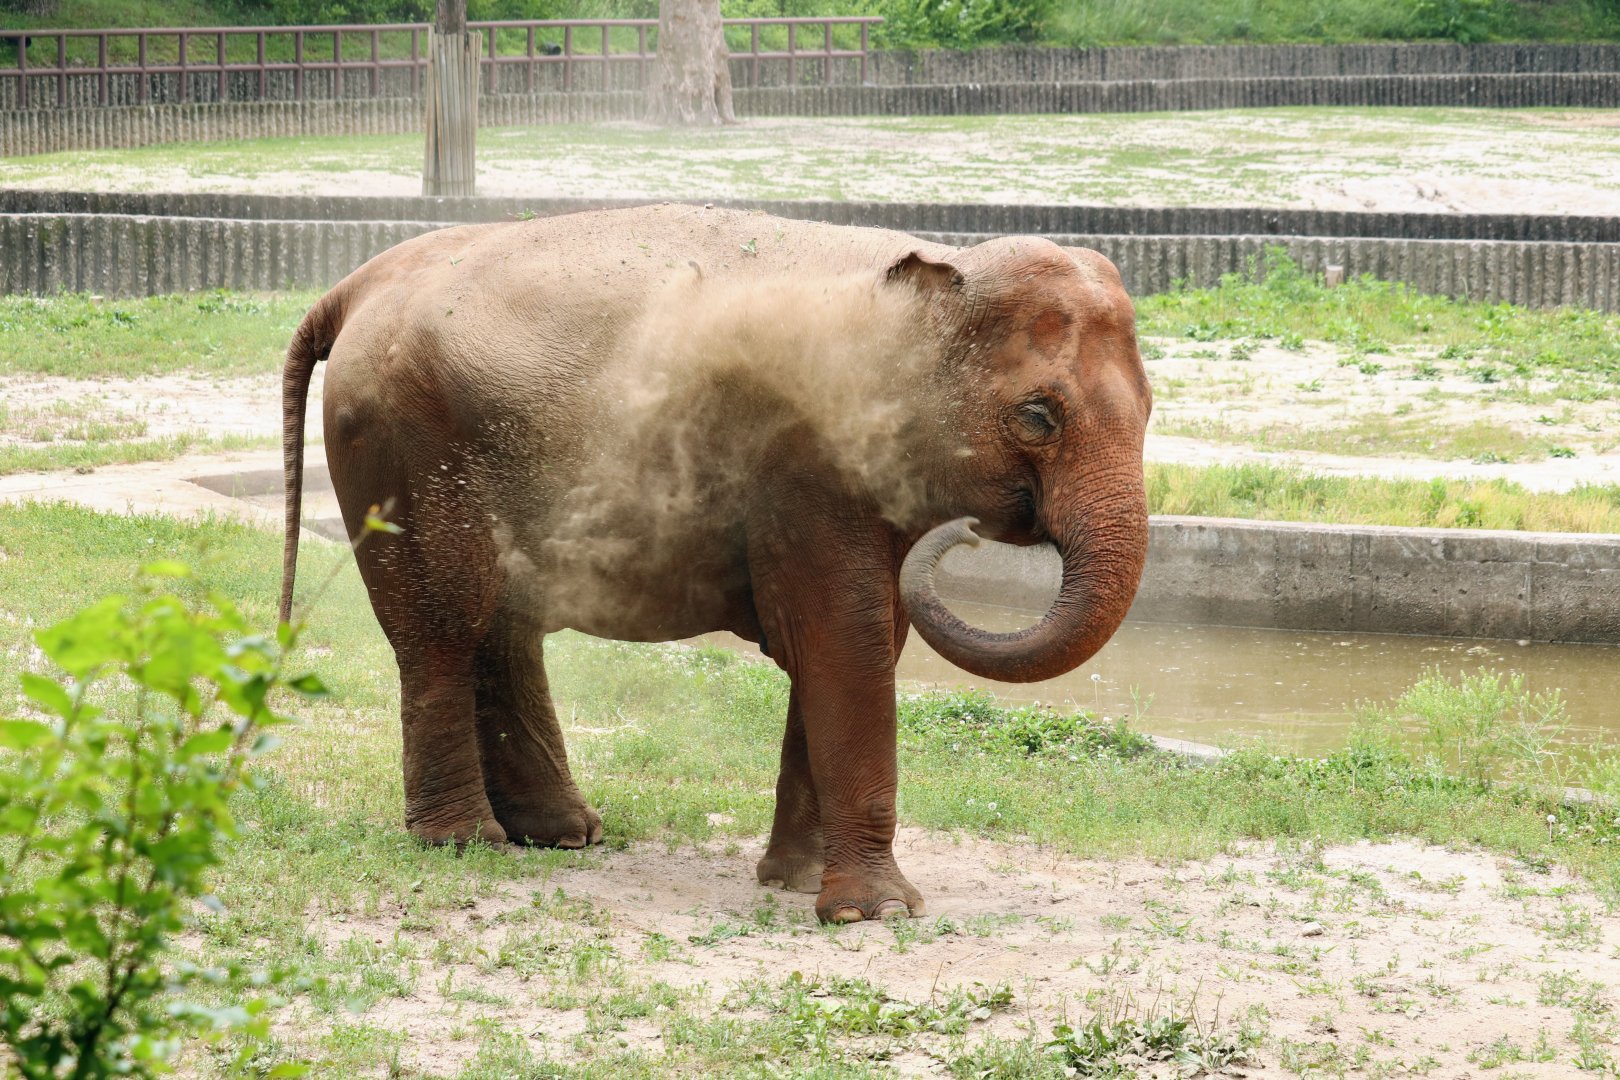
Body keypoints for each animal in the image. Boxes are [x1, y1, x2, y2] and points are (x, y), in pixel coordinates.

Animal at [279, 203, 1151, 924]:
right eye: (1037, 416)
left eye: (1149, 410)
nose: (969, 534)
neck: (932, 269)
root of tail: (357, 284)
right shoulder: (803, 469)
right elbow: (848, 641)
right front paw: (875, 913)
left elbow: (853, 644)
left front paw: (798, 883)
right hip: (402, 451)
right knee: (443, 628)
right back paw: (465, 844)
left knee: (501, 627)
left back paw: (562, 835)